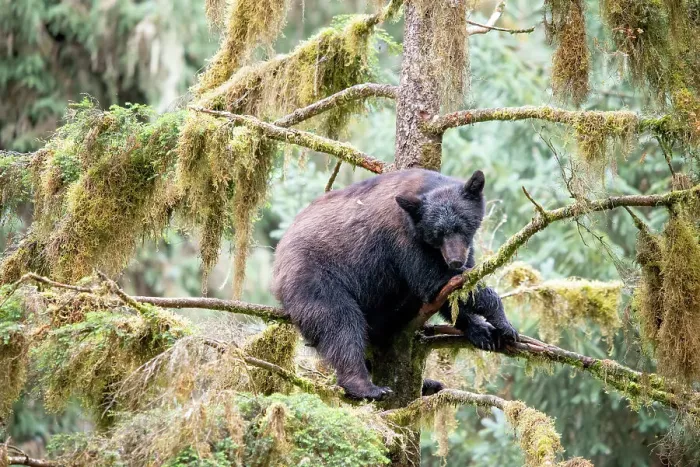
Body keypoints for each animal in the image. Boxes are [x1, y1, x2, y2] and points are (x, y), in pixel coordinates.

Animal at [272, 168, 517, 400]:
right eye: (437, 233)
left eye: (462, 226)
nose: (455, 261)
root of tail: (278, 260)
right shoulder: (403, 240)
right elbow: (435, 280)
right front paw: (505, 324)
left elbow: (454, 293)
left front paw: (482, 331)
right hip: (316, 278)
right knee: (339, 324)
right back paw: (365, 386)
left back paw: (427, 384)